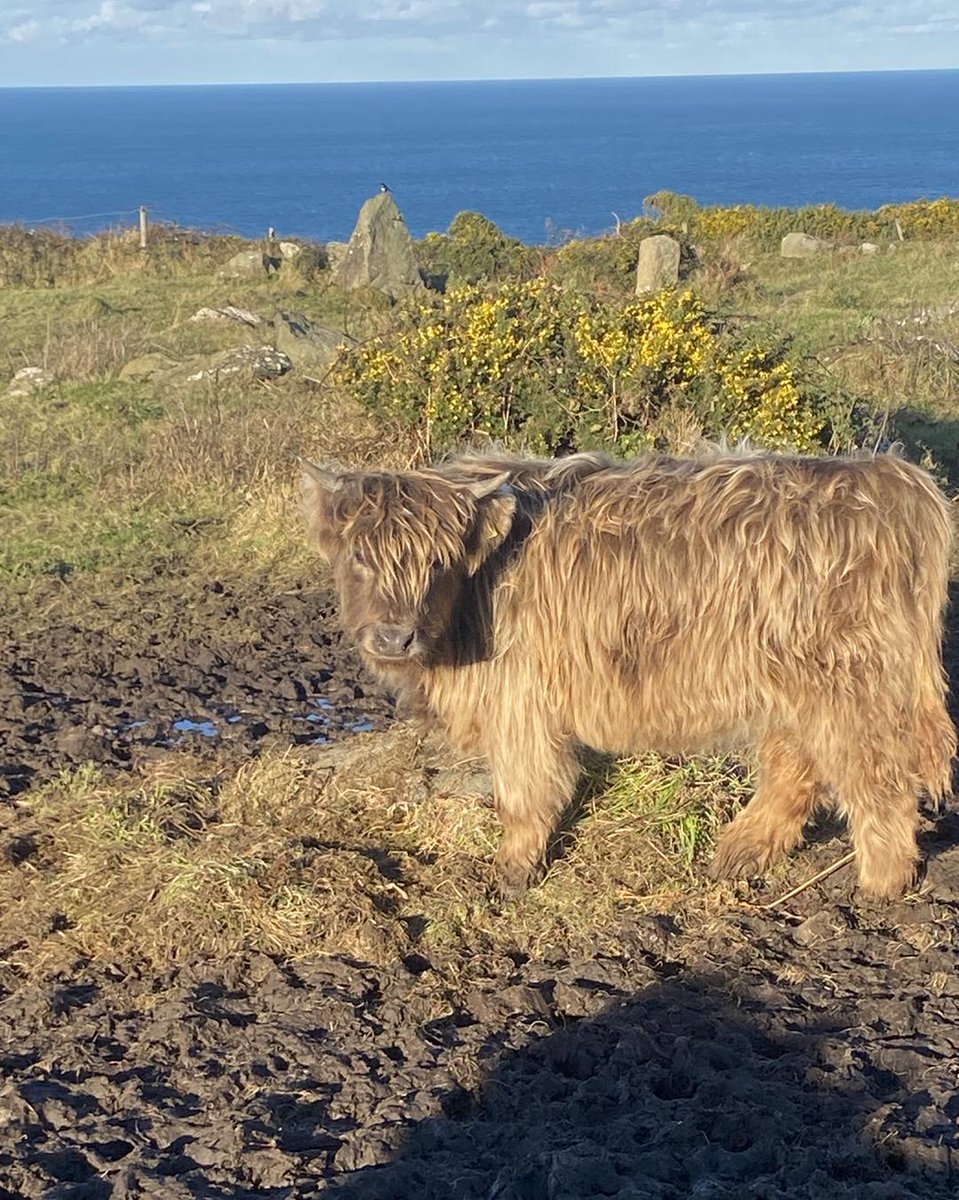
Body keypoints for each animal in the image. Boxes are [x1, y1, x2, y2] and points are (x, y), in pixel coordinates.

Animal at [302, 451, 950, 902]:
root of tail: (890, 480)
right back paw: (740, 853)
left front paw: (511, 871)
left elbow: (523, 792)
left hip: (852, 682)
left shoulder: (519, 700)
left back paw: (880, 885)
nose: (394, 637)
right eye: (358, 557)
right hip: (792, 684)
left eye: (437, 560)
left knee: (878, 776)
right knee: (796, 766)